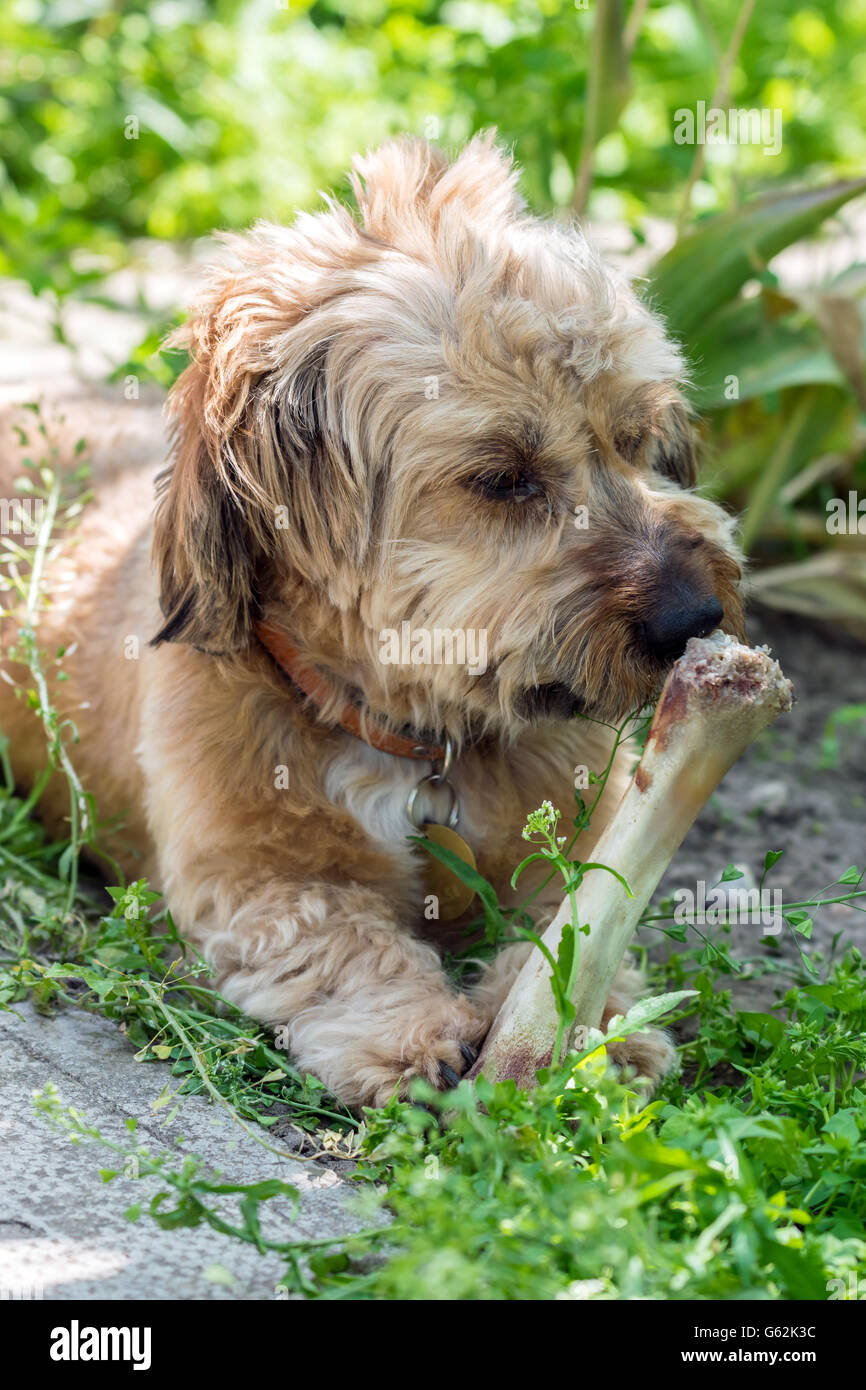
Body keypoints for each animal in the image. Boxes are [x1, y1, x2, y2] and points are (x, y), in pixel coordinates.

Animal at [0, 130, 745, 1106]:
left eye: (631, 439)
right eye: (502, 476)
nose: (694, 615)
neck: (415, 740)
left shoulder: (579, 834)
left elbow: (577, 918)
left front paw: (597, 1026)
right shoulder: (257, 880)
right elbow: (339, 941)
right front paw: (413, 1030)